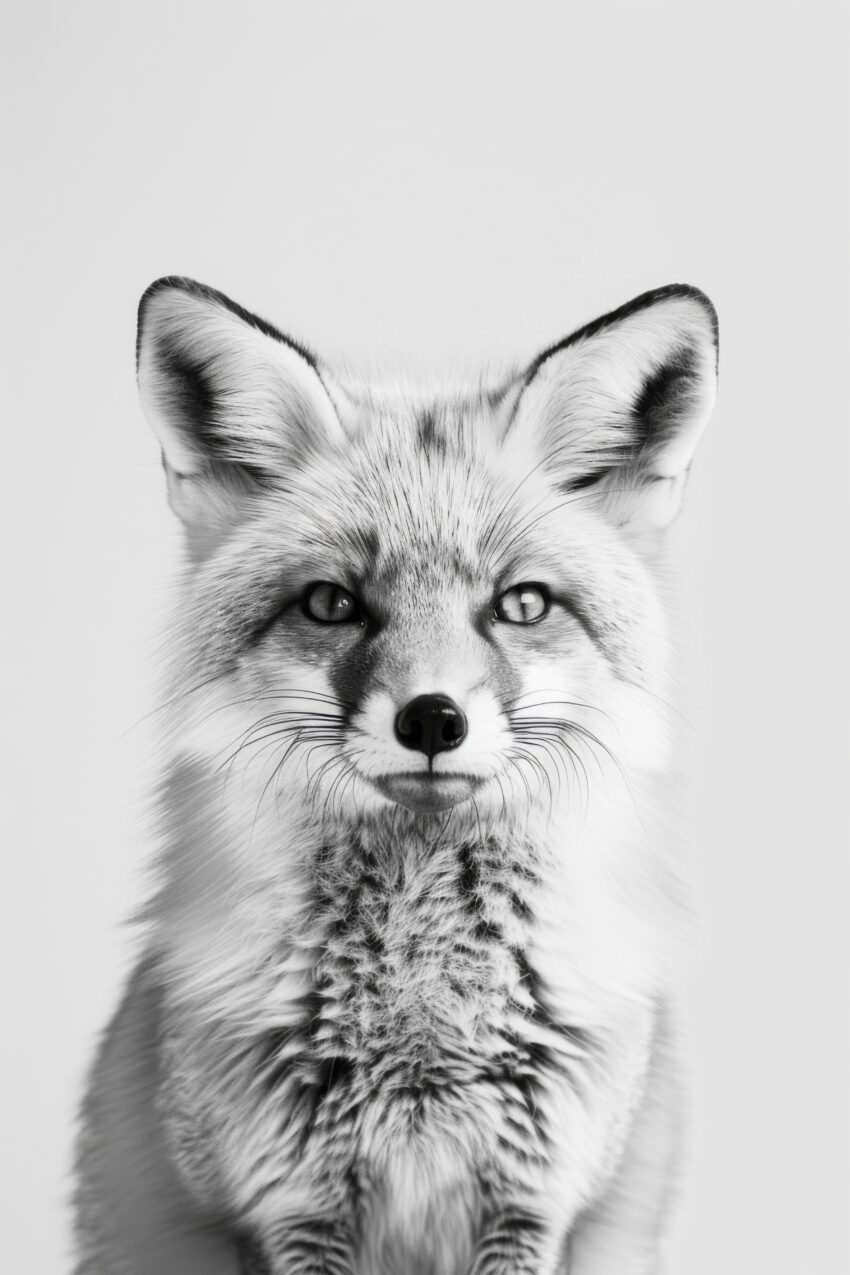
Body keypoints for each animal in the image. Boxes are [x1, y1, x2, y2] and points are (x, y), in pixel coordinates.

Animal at [74, 277, 718, 1275]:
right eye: (331, 602)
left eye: (521, 603)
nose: (433, 720)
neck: (421, 1027)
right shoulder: (288, 1207)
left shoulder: (533, 1202)